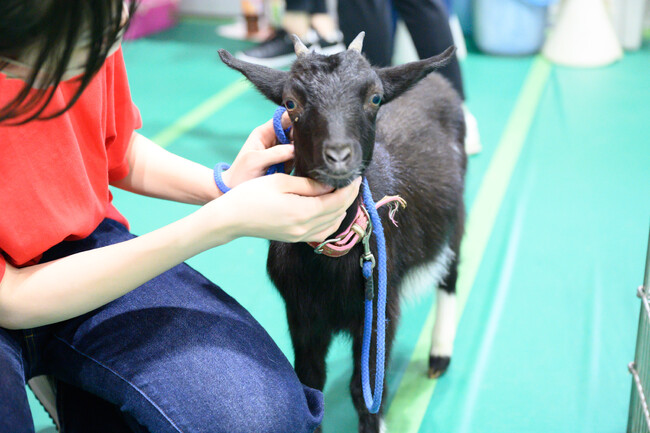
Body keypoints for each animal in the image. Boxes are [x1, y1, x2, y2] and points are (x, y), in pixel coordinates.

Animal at [220, 33, 464, 432]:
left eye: (375, 98)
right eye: (291, 102)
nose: (337, 156)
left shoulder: (379, 312)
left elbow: (366, 393)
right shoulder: (301, 314)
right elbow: (310, 385)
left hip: (456, 214)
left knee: (451, 271)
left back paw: (439, 355)